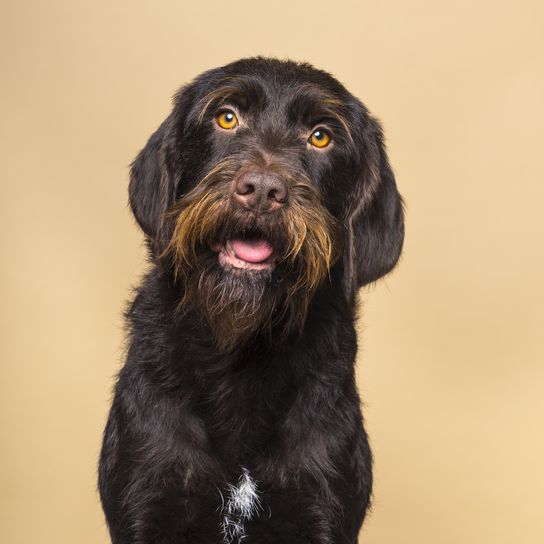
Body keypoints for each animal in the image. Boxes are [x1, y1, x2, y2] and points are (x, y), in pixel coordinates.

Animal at [99, 57, 404, 540]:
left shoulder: (322, 505)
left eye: (321, 135)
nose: (262, 189)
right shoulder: (147, 498)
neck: (241, 355)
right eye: (226, 117)